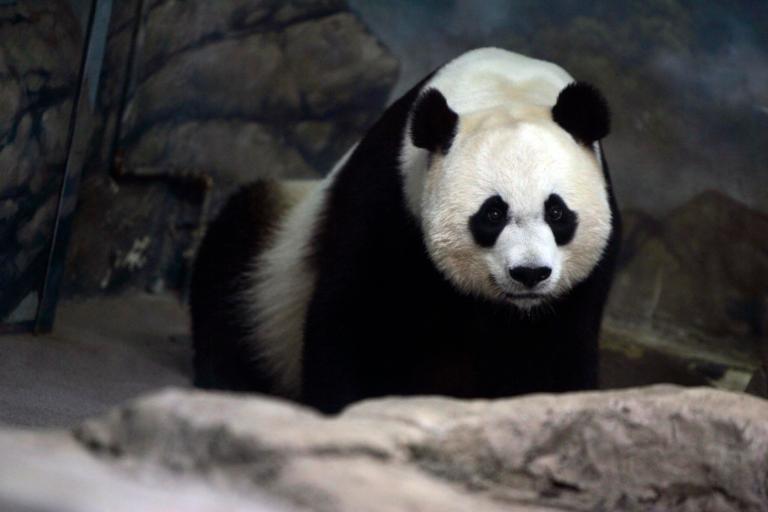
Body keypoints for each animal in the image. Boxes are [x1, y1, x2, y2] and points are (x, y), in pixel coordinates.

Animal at [190, 48, 621, 414]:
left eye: (557, 212)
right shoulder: (387, 200)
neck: (505, 89)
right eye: (493, 213)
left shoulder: (585, 275)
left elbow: (555, 355)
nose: (529, 273)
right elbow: (355, 319)